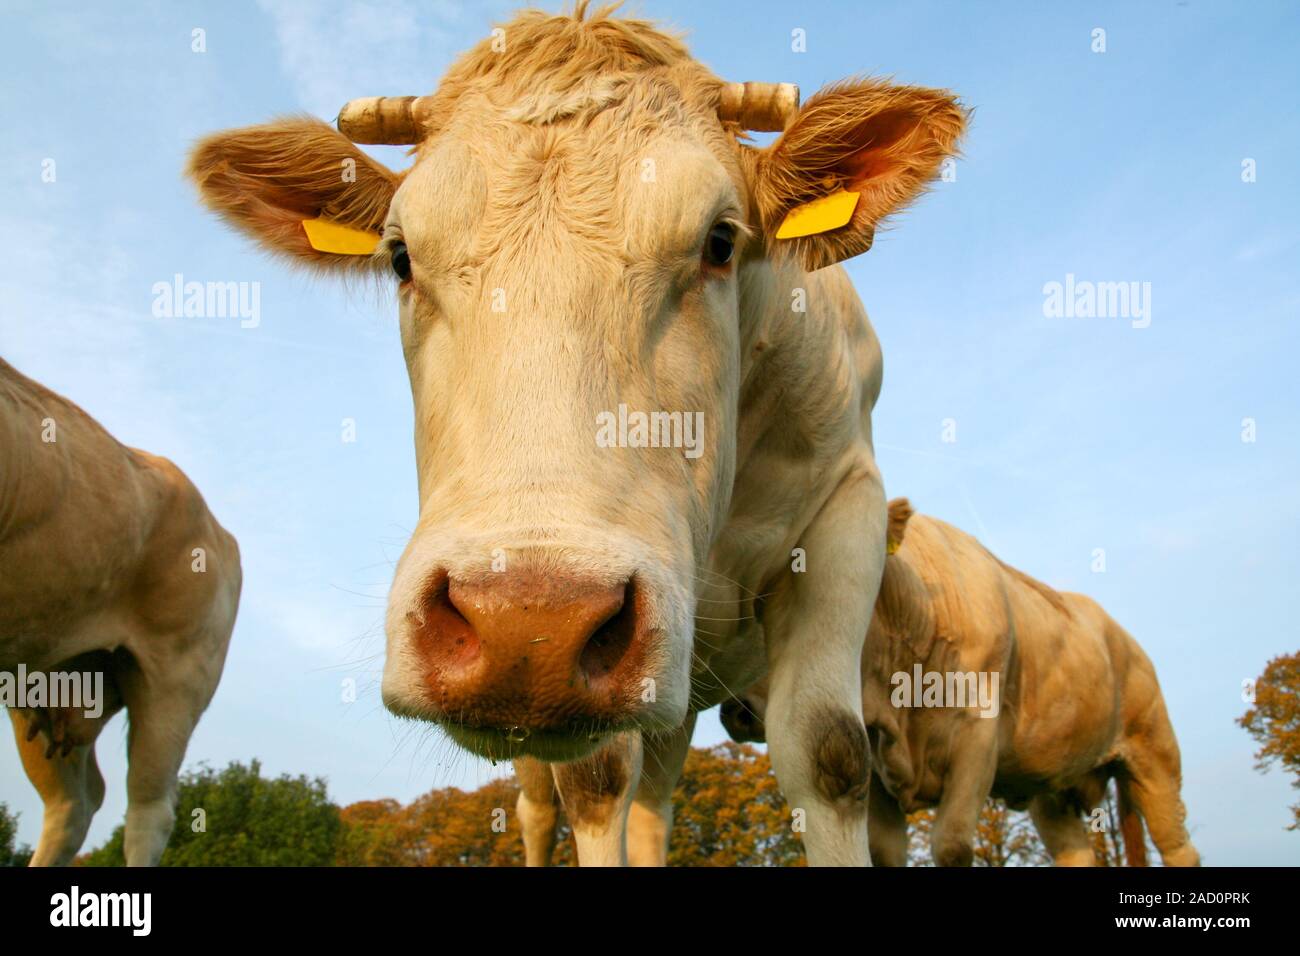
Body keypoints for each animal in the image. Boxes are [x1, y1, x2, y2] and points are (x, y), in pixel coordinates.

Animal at [187, 3, 964, 866]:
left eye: (721, 240)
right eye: (400, 258)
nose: (530, 620)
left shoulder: (848, 501)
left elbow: (828, 752)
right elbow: (594, 783)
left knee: (657, 797)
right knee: (547, 803)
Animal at [721, 499, 1201, 867]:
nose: (736, 709)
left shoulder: (977, 741)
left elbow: (951, 846)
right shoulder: (874, 766)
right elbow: (884, 852)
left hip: (1155, 756)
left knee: (1177, 847)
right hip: (1053, 791)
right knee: (1076, 854)